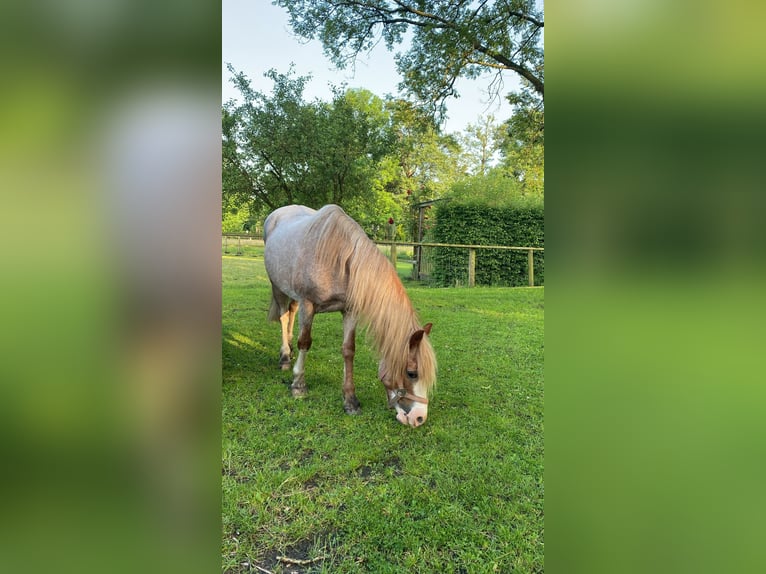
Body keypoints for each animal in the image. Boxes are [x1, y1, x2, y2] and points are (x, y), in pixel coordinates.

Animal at [262, 205, 438, 426]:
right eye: (411, 373)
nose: (419, 417)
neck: (338, 259)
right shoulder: (308, 304)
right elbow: (305, 342)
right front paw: (298, 385)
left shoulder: (350, 310)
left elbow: (348, 350)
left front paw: (350, 400)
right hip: (277, 287)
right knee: (284, 316)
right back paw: (285, 357)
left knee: (291, 314)